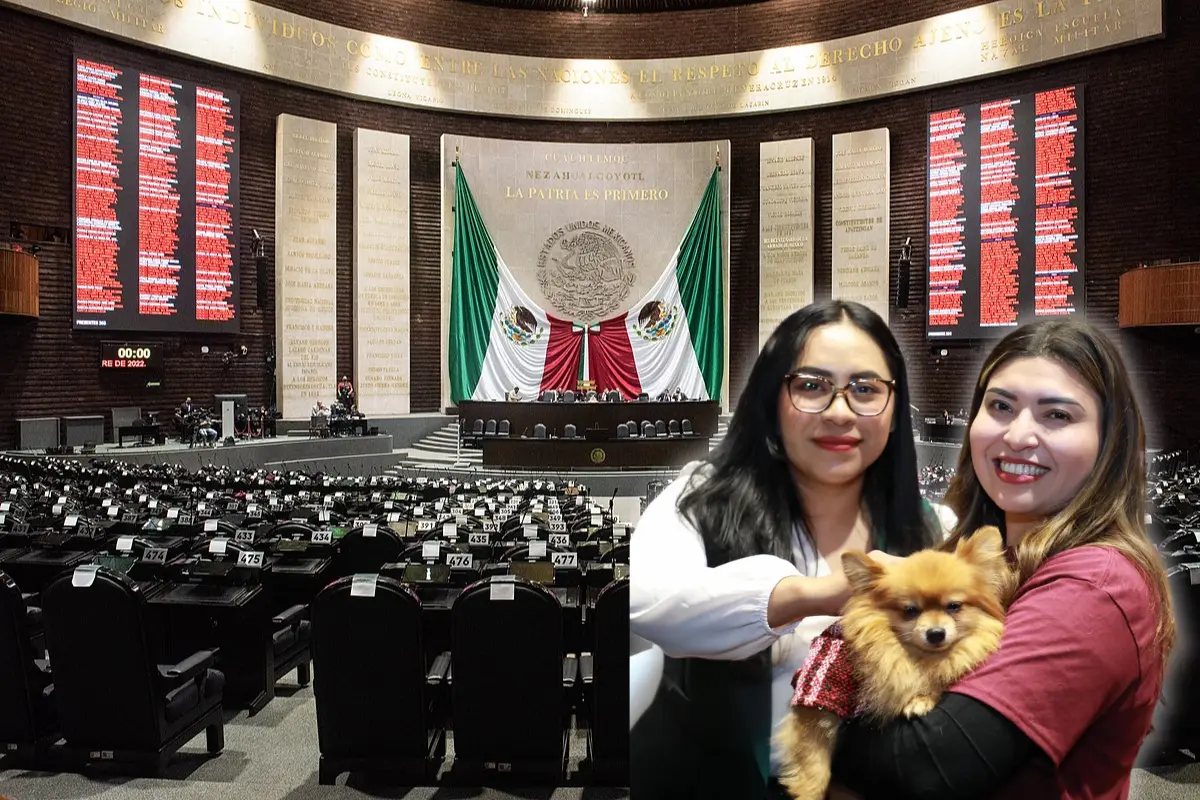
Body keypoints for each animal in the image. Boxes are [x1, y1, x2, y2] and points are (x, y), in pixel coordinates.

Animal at [772, 525, 1008, 800]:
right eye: (910, 610)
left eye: (953, 606)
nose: (936, 633)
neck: (912, 657)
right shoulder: (820, 696)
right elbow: (814, 765)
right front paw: (809, 793)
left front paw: (921, 698)